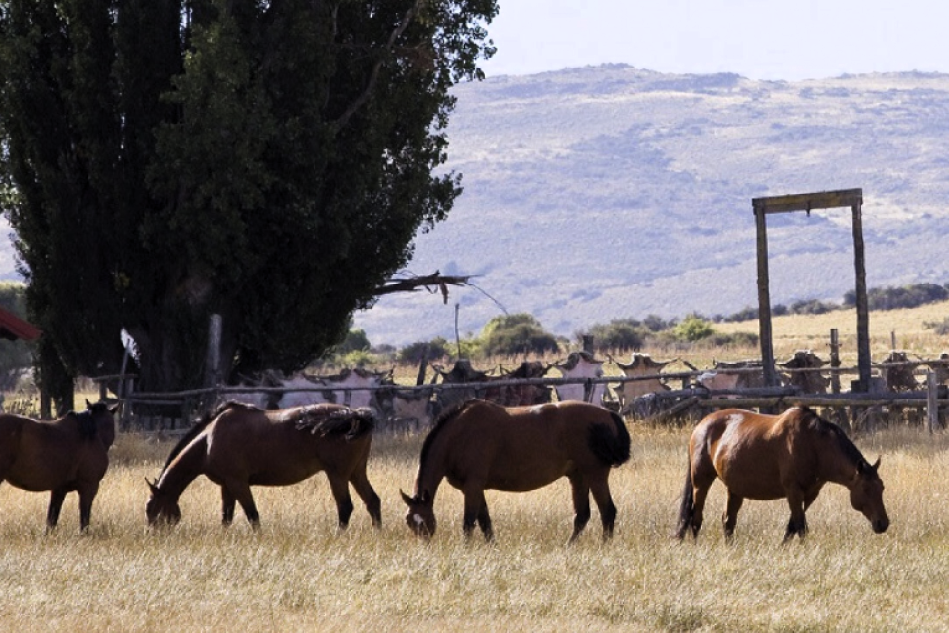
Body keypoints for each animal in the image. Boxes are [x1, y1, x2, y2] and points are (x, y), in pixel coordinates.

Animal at [145, 400, 382, 528]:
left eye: (152, 509)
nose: (153, 535)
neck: (209, 439)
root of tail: (354, 414)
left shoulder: (238, 483)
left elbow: (253, 515)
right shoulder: (227, 486)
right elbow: (226, 518)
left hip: (338, 475)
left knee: (345, 507)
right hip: (356, 473)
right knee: (372, 501)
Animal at [400, 400, 628, 544]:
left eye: (424, 522)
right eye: (410, 522)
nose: (424, 546)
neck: (459, 434)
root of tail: (607, 413)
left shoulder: (472, 486)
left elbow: (469, 523)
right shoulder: (474, 489)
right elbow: (485, 522)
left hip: (595, 476)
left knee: (607, 512)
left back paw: (603, 546)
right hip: (578, 477)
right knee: (582, 516)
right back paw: (568, 547)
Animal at [672, 408, 888, 540]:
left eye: (882, 488)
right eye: (866, 489)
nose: (883, 524)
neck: (815, 445)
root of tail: (701, 426)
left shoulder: (809, 494)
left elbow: (792, 526)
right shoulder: (793, 491)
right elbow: (800, 526)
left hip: (734, 489)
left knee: (728, 521)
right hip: (701, 482)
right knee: (695, 518)